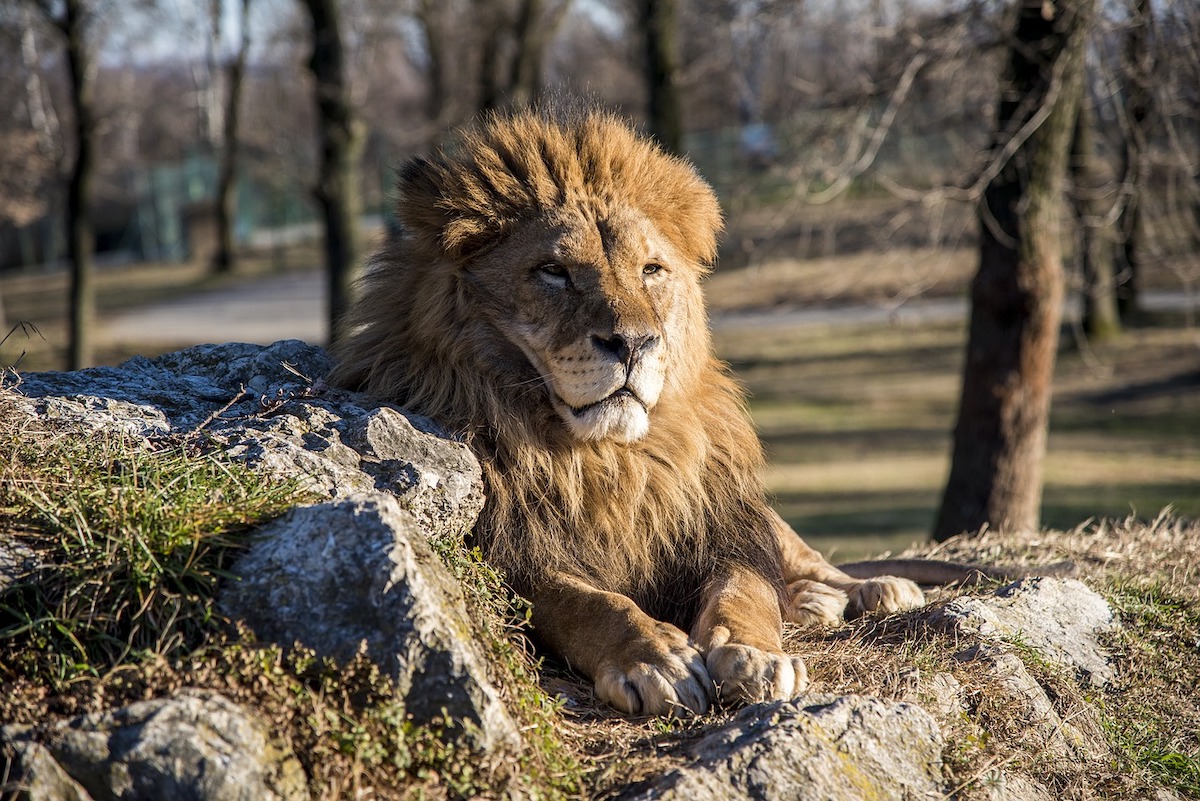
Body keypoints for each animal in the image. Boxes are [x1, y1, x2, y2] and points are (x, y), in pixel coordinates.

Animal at [328, 109, 926, 714]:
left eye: (651, 270)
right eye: (553, 270)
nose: (635, 344)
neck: (608, 459)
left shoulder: (717, 529)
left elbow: (746, 589)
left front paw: (755, 655)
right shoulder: (513, 556)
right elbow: (589, 602)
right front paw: (656, 658)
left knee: (806, 557)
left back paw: (870, 589)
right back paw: (812, 602)